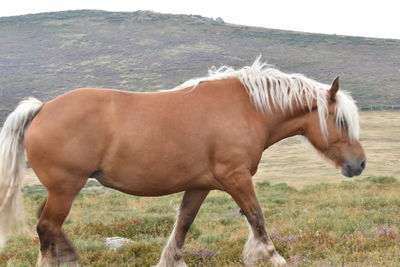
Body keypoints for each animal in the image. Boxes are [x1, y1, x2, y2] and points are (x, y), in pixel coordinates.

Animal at [0, 59, 366, 267]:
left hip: (60, 190)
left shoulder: (200, 185)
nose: (360, 164)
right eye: (341, 122)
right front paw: (273, 257)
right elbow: (257, 218)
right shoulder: (236, 178)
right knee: (47, 227)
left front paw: (171, 261)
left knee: (49, 229)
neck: (248, 109)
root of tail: (42, 107)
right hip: (66, 187)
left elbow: (183, 226)